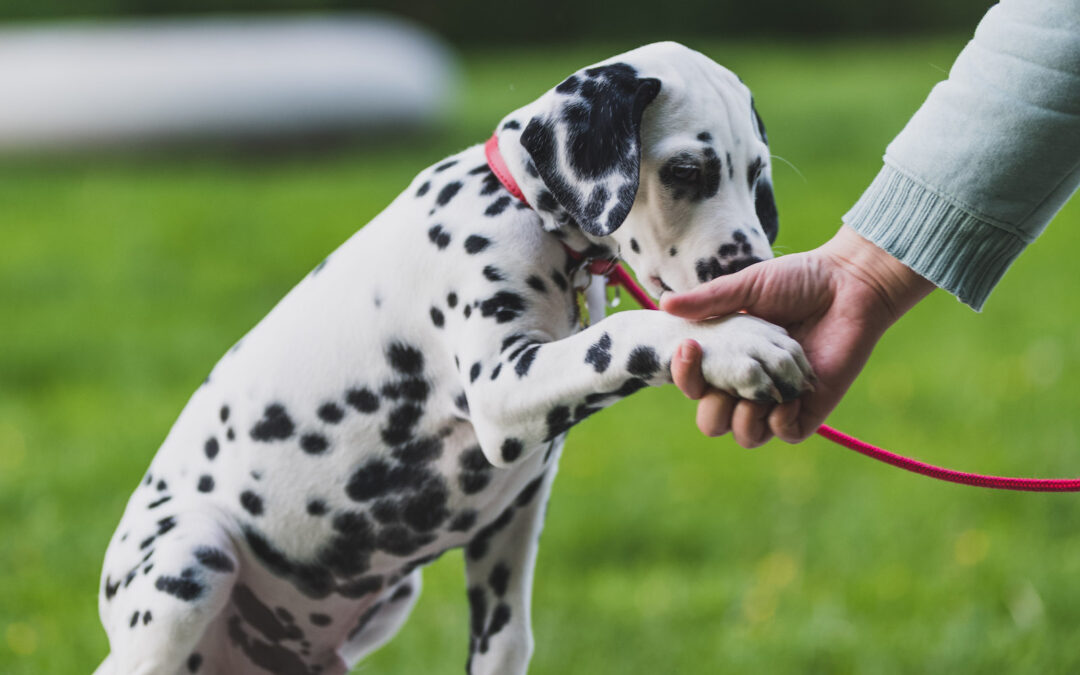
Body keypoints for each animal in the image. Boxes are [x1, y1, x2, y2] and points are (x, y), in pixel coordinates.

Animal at [97, 39, 812, 669]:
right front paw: (738, 341)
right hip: (190, 560)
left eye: (756, 174)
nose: (750, 269)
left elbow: (506, 643)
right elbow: (630, 332)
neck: (522, 210)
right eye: (686, 172)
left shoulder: (511, 523)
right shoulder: (501, 389)